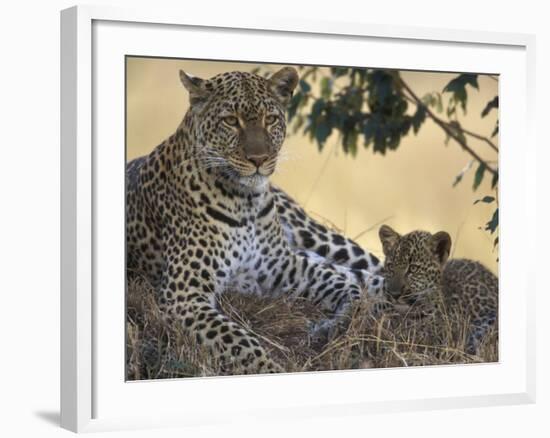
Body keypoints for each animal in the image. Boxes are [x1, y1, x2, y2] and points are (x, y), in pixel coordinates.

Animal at [126, 66, 384, 374]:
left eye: (270, 119)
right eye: (230, 121)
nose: (259, 159)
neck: (245, 202)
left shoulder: (283, 265)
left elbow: (344, 287)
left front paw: (339, 320)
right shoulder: (184, 294)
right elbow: (238, 339)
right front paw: (271, 368)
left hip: (316, 236)